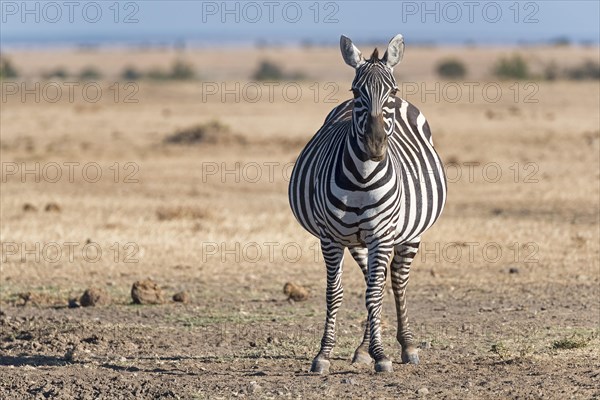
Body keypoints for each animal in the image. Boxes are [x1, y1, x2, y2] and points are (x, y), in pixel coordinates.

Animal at [288, 35, 448, 376]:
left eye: (393, 91)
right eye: (355, 91)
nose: (375, 145)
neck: (362, 178)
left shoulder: (381, 235)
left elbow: (375, 293)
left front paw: (382, 355)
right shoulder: (330, 238)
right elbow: (336, 293)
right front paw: (325, 353)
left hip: (408, 234)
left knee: (396, 280)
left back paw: (406, 346)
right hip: (358, 241)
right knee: (374, 283)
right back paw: (363, 350)